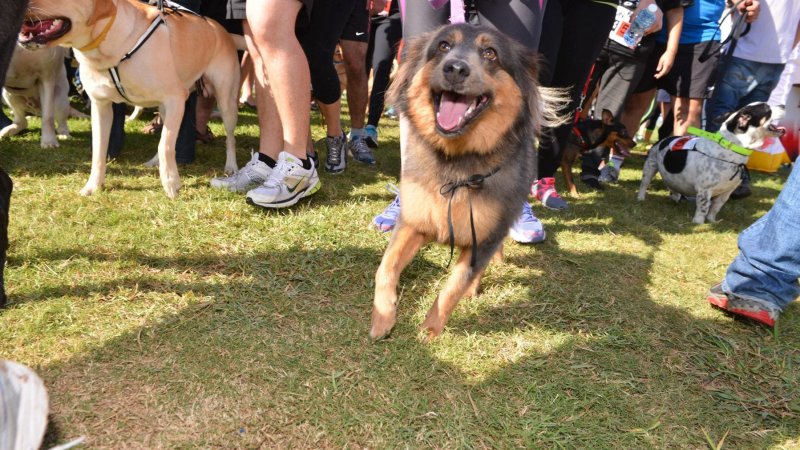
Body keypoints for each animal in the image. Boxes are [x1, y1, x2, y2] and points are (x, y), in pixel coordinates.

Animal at [19, 0, 241, 197]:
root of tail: (220, 29)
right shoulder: (100, 106)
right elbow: (99, 150)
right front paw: (93, 186)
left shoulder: (176, 98)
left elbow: (166, 145)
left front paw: (171, 183)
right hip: (164, 108)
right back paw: (154, 162)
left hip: (226, 101)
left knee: (230, 138)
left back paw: (231, 167)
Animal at [368, 23, 564, 342]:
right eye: (443, 46)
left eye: (490, 53)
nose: (456, 69)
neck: (458, 162)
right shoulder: (413, 222)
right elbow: (385, 267)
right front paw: (383, 317)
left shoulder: (484, 237)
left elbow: (453, 287)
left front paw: (429, 331)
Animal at [640, 101, 784, 222]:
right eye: (767, 109)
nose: (783, 105)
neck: (730, 151)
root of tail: (663, 140)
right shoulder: (705, 190)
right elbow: (703, 208)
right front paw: (698, 223)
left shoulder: (726, 193)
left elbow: (715, 208)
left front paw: (711, 221)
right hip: (650, 167)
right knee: (644, 184)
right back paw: (641, 198)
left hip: (674, 178)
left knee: (673, 187)